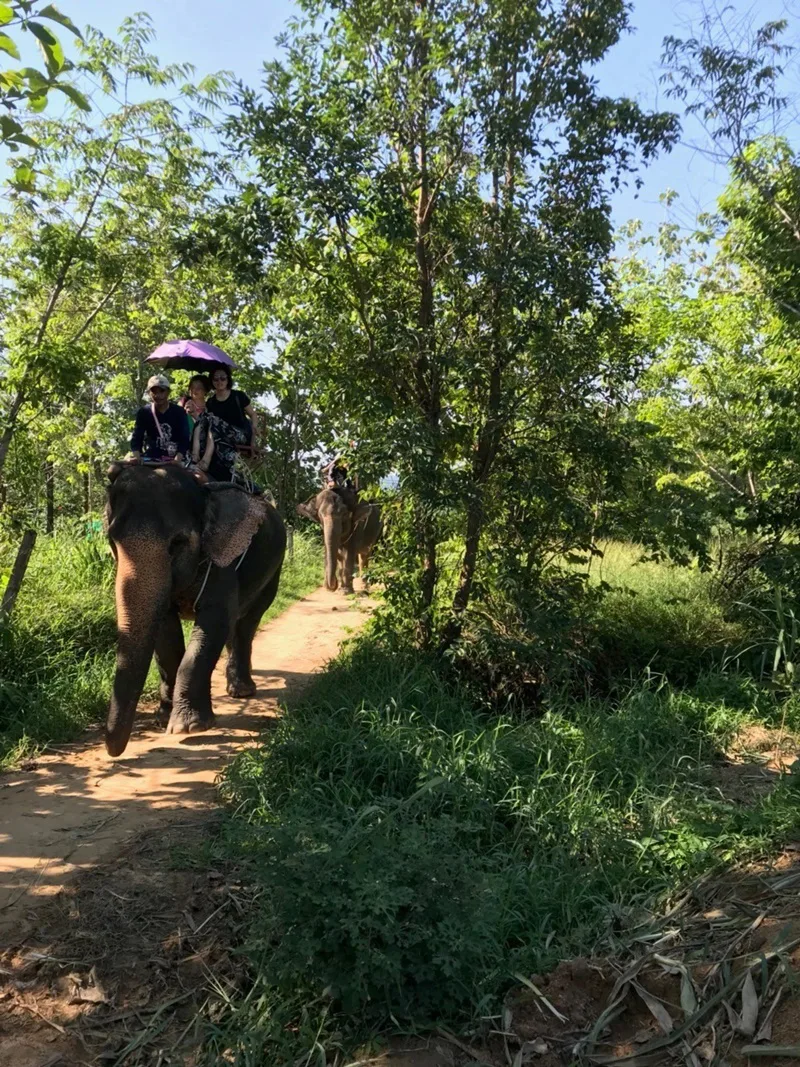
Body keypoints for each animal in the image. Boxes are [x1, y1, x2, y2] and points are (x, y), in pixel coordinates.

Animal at [103, 463, 286, 757]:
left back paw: (242, 691)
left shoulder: (224, 557)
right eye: (112, 541)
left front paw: (189, 727)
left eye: (177, 543)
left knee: (247, 623)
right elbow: (166, 633)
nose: (113, 751)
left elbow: (215, 621)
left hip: (274, 570)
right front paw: (163, 719)